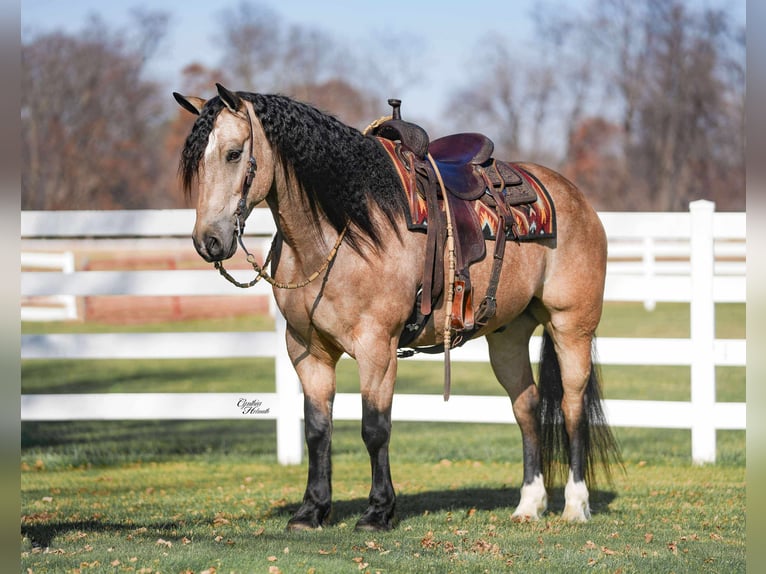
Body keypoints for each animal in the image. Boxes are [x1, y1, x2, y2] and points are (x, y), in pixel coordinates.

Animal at [174, 83, 621, 531]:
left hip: (571, 327)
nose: (208, 242)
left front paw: (378, 511)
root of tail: (573, 196)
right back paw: (529, 504)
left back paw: (575, 505)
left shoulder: (378, 348)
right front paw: (311, 510)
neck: (345, 228)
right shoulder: (307, 350)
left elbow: (375, 428)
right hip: (507, 335)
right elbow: (317, 429)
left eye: (233, 153)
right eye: (195, 162)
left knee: (571, 407)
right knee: (526, 406)